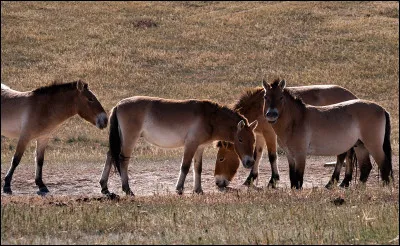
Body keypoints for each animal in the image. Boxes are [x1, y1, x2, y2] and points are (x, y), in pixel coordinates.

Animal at [98, 95, 258, 196]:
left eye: (253, 140)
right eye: (241, 139)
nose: (250, 162)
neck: (209, 117)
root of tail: (118, 105)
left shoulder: (199, 147)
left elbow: (197, 168)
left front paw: (198, 190)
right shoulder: (191, 145)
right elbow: (185, 167)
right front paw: (179, 189)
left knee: (110, 155)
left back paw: (104, 187)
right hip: (129, 139)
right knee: (122, 160)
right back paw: (127, 189)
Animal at [214, 83, 358, 189]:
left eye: (221, 158)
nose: (218, 182)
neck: (259, 106)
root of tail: (353, 96)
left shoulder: (270, 134)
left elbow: (272, 156)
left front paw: (273, 180)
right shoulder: (259, 134)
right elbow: (257, 155)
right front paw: (250, 179)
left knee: (343, 155)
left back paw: (336, 181)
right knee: (348, 155)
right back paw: (345, 181)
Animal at [260, 78, 392, 188]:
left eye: (281, 97)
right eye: (266, 97)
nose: (271, 114)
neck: (297, 119)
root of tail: (382, 109)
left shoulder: (300, 154)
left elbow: (299, 178)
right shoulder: (289, 155)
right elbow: (293, 177)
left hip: (373, 146)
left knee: (384, 165)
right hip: (360, 146)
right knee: (365, 168)